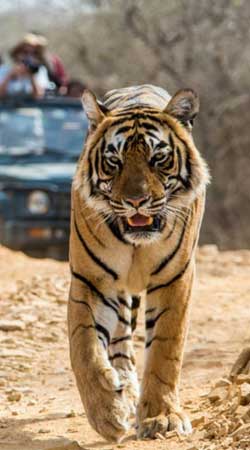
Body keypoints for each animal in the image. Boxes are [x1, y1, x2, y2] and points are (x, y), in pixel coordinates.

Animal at [68, 82, 209, 442]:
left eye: (158, 158)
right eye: (113, 161)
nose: (136, 201)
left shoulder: (175, 279)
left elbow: (164, 351)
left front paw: (162, 418)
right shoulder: (91, 280)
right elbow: (84, 347)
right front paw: (107, 413)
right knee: (119, 341)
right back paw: (124, 390)